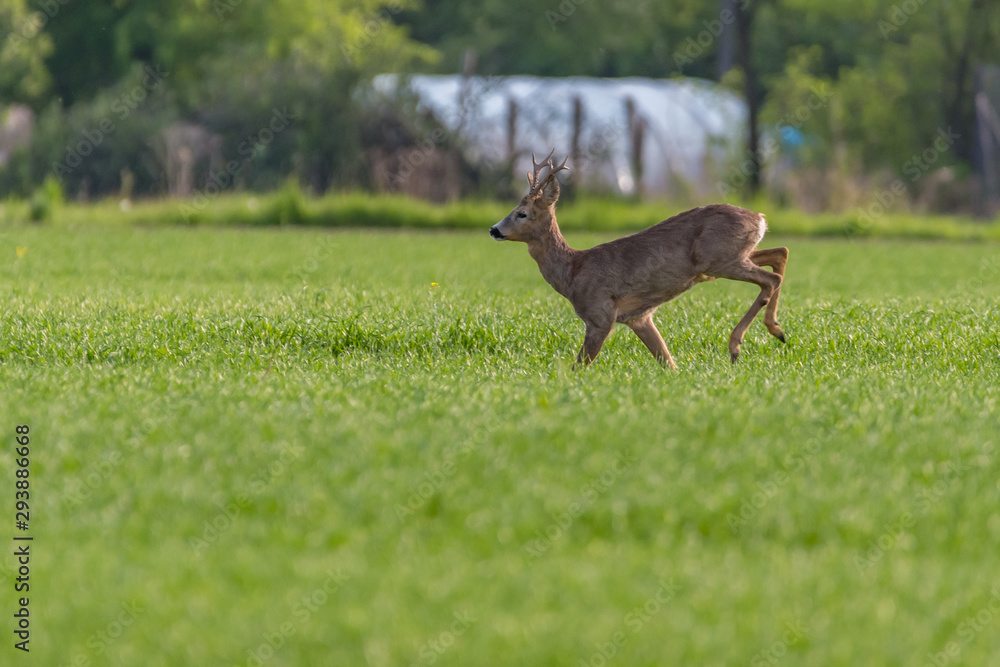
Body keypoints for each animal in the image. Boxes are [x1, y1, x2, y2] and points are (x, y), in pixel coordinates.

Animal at [489, 151, 788, 368]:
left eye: (522, 214)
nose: (494, 229)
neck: (572, 272)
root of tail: (760, 219)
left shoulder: (600, 315)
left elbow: (578, 367)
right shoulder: (639, 317)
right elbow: (668, 362)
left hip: (718, 259)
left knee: (771, 277)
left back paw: (739, 345)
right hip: (731, 257)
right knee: (780, 253)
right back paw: (777, 330)